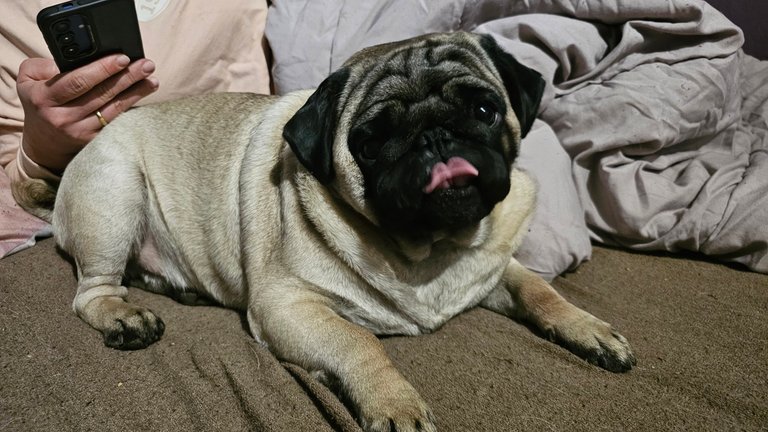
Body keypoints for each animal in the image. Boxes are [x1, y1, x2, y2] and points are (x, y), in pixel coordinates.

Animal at [16, 32, 635, 432]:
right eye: (372, 139)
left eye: (484, 109)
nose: (434, 136)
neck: (427, 250)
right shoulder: (287, 305)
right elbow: (356, 340)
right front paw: (394, 403)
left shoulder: (493, 266)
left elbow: (540, 290)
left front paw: (589, 330)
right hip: (113, 194)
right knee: (93, 289)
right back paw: (124, 316)